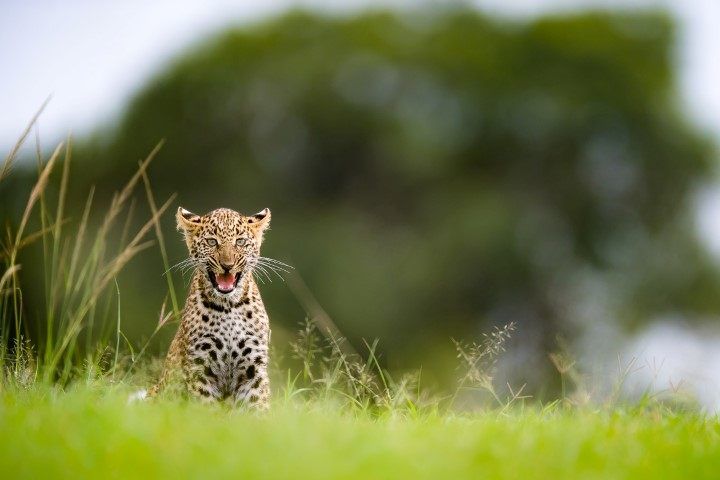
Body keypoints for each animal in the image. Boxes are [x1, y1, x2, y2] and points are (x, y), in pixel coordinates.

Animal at [146, 206, 277, 410]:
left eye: (240, 241)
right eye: (212, 241)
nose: (227, 265)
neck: (229, 306)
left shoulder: (253, 368)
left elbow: (257, 406)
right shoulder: (200, 367)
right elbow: (205, 408)